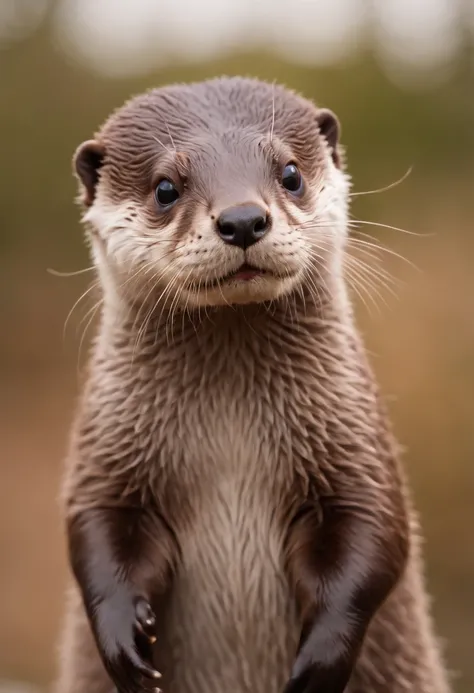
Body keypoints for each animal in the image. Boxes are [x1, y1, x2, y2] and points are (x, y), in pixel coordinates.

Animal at [55, 77, 452, 692]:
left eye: (289, 173)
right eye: (165, 187)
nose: (242, 219)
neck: (231, 443)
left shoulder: (356, 447)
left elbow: (374, 534)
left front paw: (318, 660)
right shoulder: (109, 453)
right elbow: (95, 531)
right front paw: (125, 640)